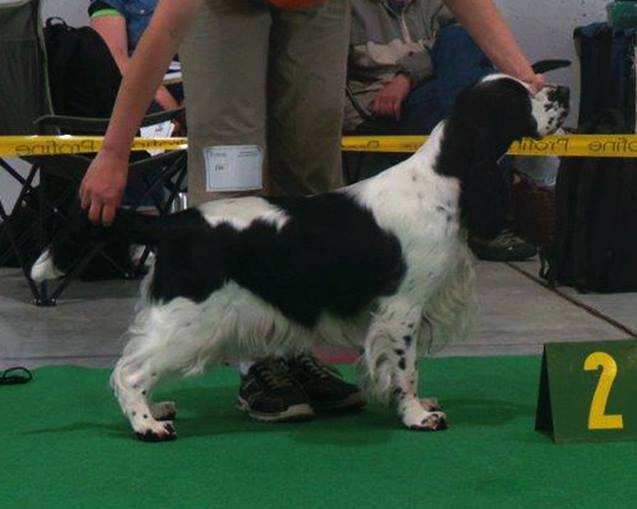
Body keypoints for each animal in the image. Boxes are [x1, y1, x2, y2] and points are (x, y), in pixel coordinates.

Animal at [32, 71, 568, 440]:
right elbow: (405, 367)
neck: (445, 178)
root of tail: (176, 222)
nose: (561, 92)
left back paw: (158, 408)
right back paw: (148, 424)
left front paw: (417, 405)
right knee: (129, 371)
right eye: (518, 97)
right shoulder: (401, 308)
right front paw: (417, 415)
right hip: (192, 318)